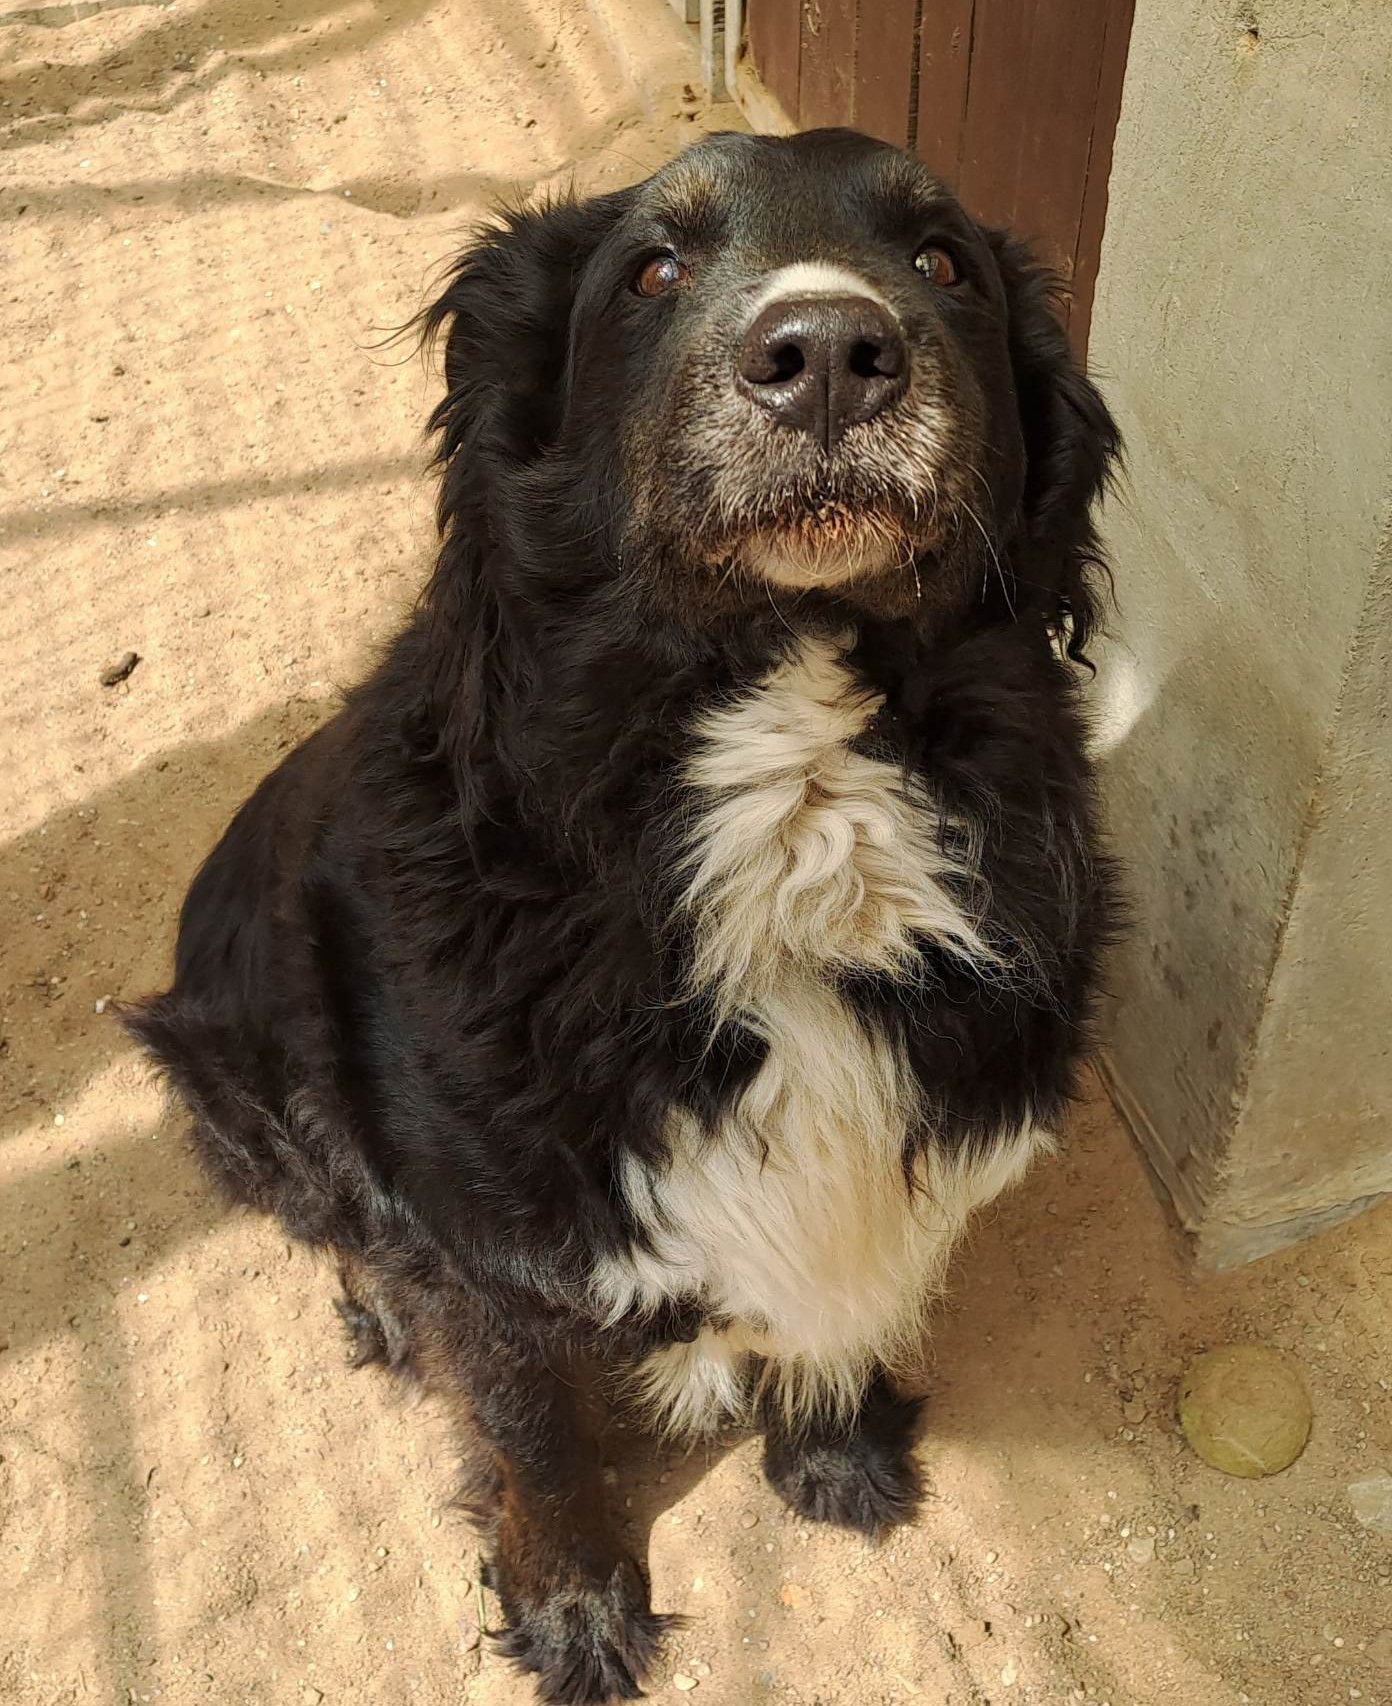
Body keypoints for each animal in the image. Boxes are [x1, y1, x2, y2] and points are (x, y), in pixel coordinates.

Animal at [127, 128, 1123, 1704]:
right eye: (653, 269)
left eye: (943, 260)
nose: (828, 353)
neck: (793, 783)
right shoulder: (491, 1240)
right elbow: (534, 1435)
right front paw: (577, 1612)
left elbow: (846, 1298)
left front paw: (833, 1452)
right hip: (233, 1074)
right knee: (335, 1217)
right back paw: (378, 1302)